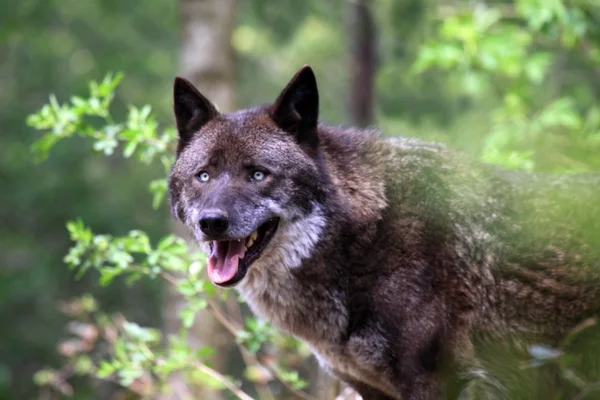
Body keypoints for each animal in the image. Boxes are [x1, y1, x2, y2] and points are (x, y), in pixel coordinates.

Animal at [168, 66, 600, 400]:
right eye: (203, 176)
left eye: (258, 175)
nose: (212, 222)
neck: (366, 236)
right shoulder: (369, 386)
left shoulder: (433, 382)